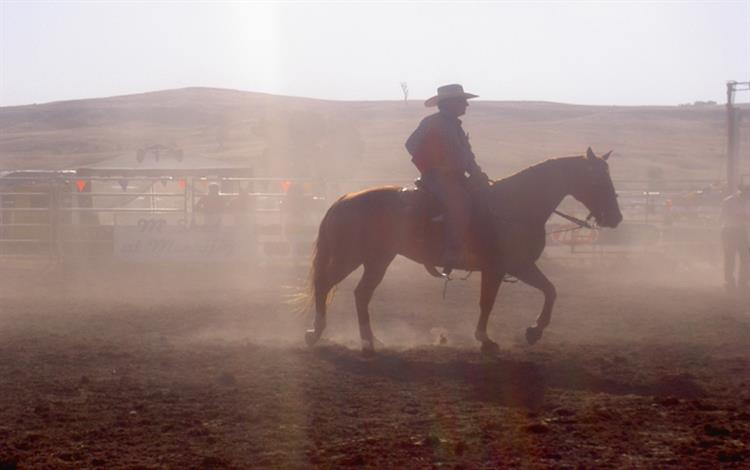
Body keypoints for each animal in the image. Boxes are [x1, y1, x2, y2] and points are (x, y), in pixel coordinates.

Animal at [302, 149, 624, 354]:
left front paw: (534, 331)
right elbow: (487, 303)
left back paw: (370, 341)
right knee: (325, 284)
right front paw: (485, 340)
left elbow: (550, 290)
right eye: (598, 179)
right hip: (350, 256)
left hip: (378, 259)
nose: (615, 217)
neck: (514, 205)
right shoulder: (498, 268)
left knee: (361, 294)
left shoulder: (519, 265)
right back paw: (316, 333)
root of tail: (344, 198)